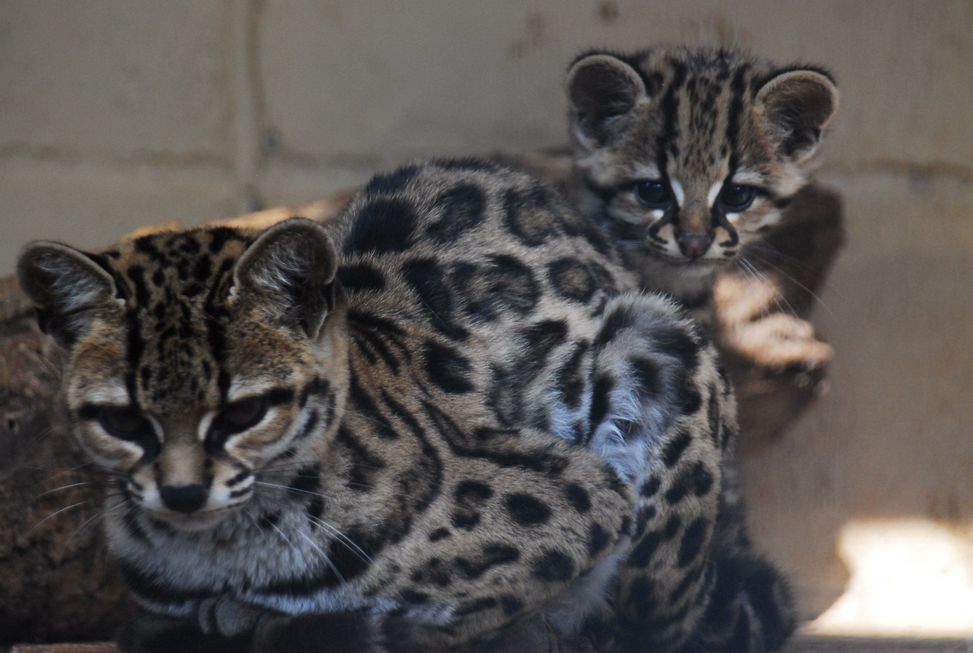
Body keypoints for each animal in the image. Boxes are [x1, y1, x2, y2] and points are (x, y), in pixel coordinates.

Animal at [15, 160, 788, 648]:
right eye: (122, 420)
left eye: (242, 413)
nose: (180, 493)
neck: (215, 553)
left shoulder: (578, 495)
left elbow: (472, 608)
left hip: (657, 344)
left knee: (657, 625)